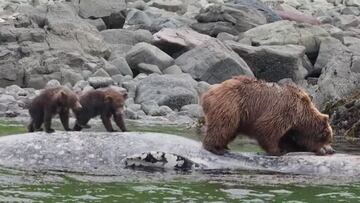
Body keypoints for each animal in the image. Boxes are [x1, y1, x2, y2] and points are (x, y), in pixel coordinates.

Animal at [201, 75, 334, 156]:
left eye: (330, 138)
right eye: (326, 137)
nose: (332, 150)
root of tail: (208, 92)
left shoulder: (292, 127)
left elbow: (288, 139)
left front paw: (289, 148)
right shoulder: (285, 111)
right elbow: (267, 129)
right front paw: (277, 151)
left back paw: (224, 146)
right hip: (231, 104)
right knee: (223, 125)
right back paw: (215, 148)